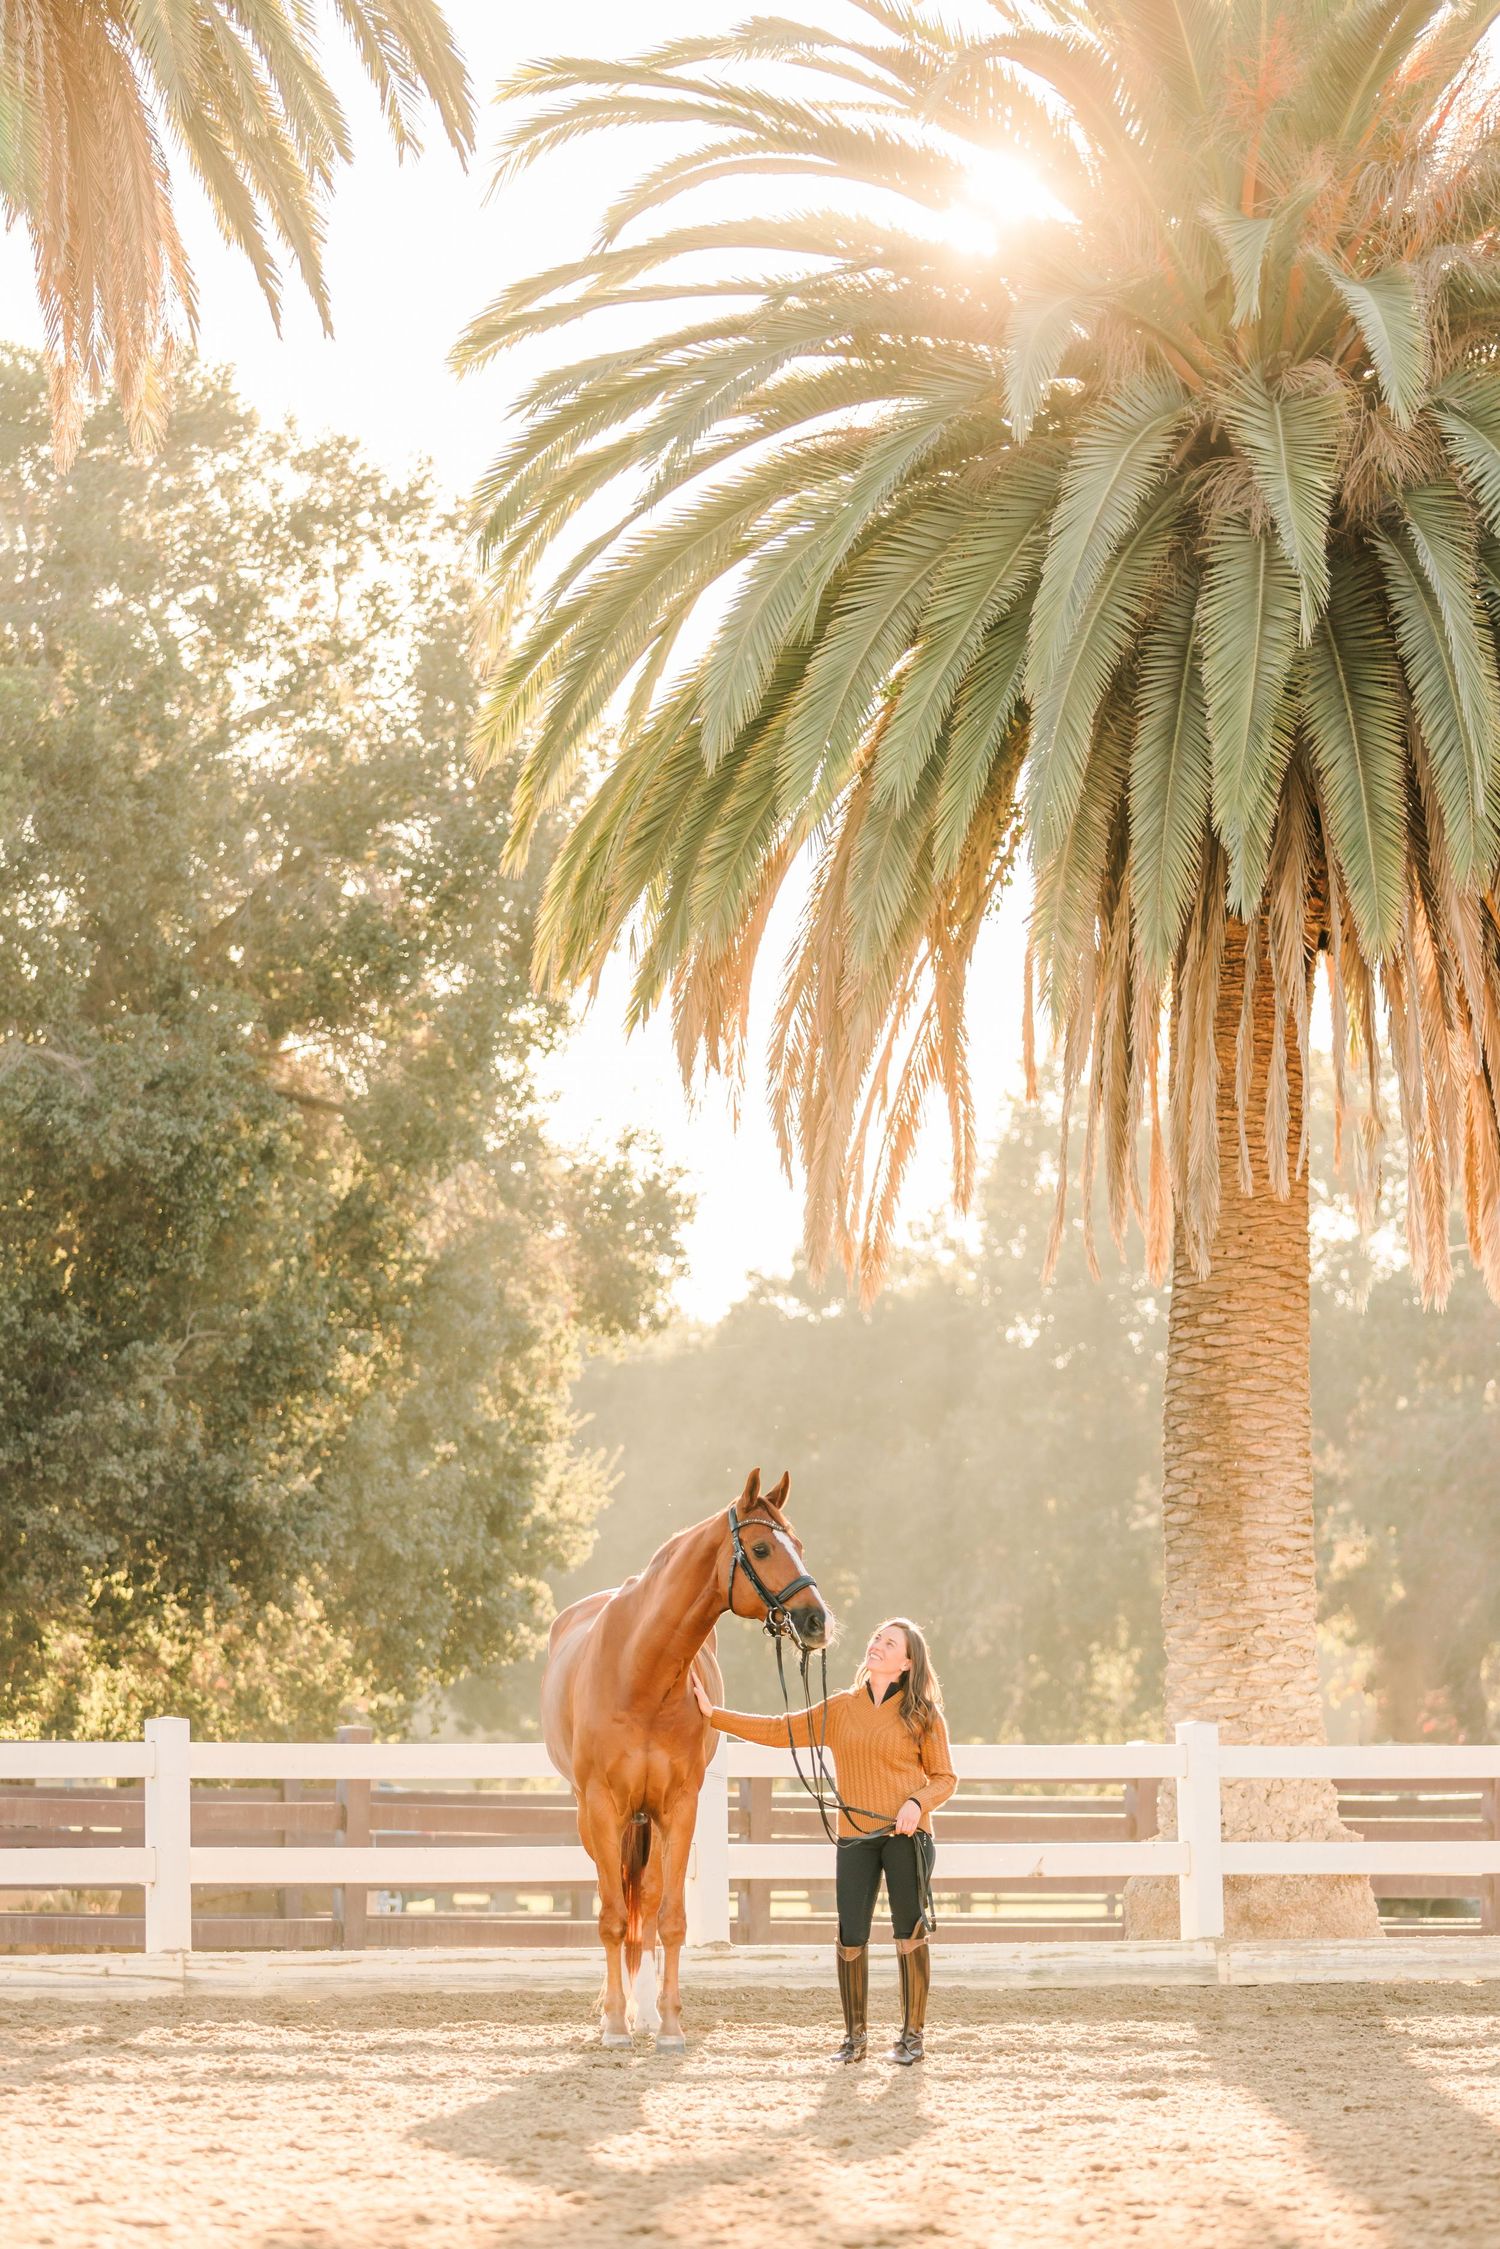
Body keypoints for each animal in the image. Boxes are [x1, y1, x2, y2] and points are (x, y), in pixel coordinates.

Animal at [541, 1466, 829, 2049]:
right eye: (761, 1548)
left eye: (801, 1545)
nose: (817, 1621)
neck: (640, 1672)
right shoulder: (602, 1808)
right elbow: (611, 1917)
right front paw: (613, 2023)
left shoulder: (679, 1806)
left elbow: (669, 1919)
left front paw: (670, 2025)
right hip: (603, 1819)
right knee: (622, 1907)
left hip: (648, 1819)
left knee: (647, 1906)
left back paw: (647, 2013)